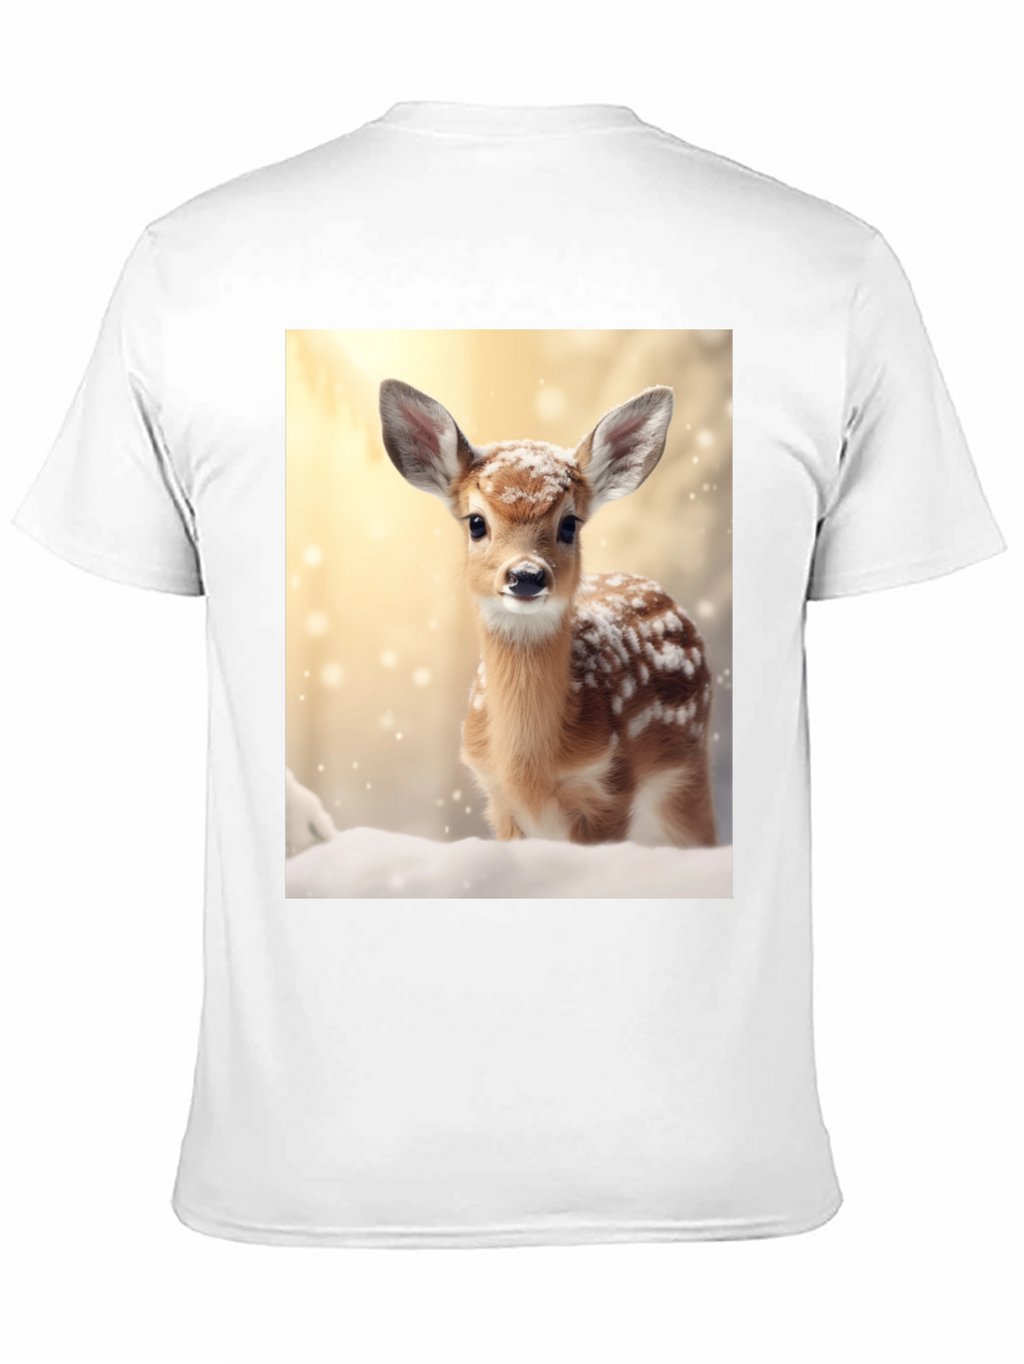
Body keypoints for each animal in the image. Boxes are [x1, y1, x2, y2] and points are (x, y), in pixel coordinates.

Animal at [379, 379, 717, 849]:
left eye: (569, 524)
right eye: (476, 523)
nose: (526, 575)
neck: (529, 770)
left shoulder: (610, 786)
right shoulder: (498, 800)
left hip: (687, 772)